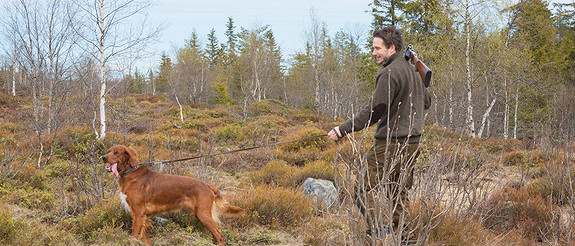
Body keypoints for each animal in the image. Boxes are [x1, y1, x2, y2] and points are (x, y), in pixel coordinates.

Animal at [102, 145, 244, 245]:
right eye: (108, 151)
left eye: (116, 152)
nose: (103, 157)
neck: (130, 173)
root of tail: (207, 185)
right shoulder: (142, 216)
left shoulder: (138, 213)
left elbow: (134, 234)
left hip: (203, 214)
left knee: (220, 237)